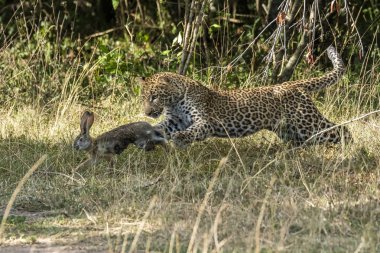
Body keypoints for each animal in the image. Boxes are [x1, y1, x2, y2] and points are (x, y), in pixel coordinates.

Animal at [140, 46, 354, 147]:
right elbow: (158, 127)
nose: (147, 112)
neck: (175, 101)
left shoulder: (205, 121)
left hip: (306, 121)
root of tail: (294, 83)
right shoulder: (174, 120)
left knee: (340, 130)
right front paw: (146, 132)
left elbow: (194, 130)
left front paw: (181, 138)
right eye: (144, 98)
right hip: (290, 129)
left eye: (154, 97)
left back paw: (348, 150)